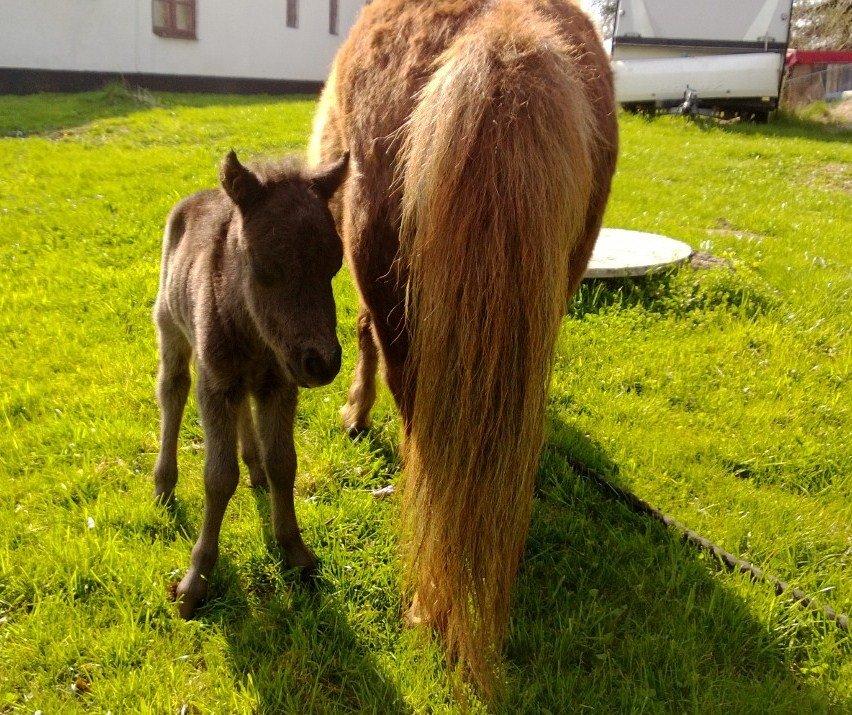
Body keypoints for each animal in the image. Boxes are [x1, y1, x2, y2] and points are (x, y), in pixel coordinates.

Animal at [155, 150, 348, 616]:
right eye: (263, 268)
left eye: (335, 265)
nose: (322, 362)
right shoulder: (214, 384)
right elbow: (218, 477)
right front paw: (195, 582)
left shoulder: (280, 383)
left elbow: (284, 464)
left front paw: (296, 552)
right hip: (169, 327)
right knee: (172, 390)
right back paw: (164, 484)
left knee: (244, 408)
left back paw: (254, 467)